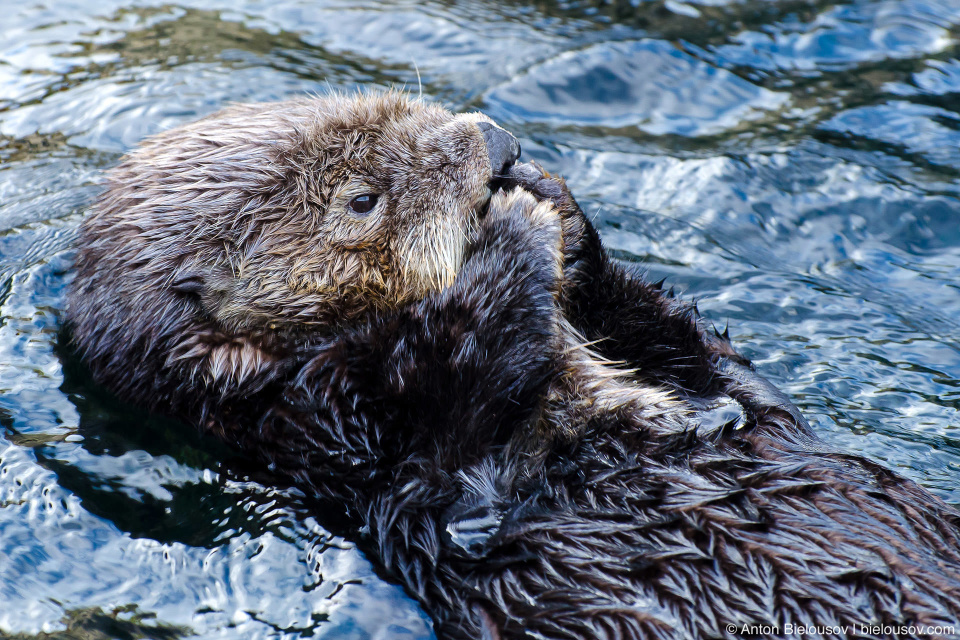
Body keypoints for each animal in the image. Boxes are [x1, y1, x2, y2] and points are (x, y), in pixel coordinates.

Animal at [67, 92, 960, 636]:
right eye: (362, 200)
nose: (496, 143)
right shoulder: (357, 448)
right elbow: (465, 486)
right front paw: (509, 233)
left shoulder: (725, 392)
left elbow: (728, 379)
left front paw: (552, 199)